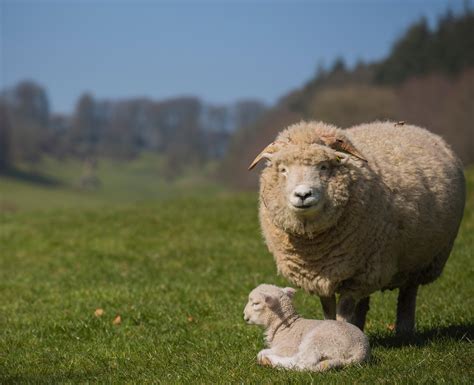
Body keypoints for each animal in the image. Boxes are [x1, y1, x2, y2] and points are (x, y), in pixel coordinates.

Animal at [250, 120, 464, 332]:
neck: (314, 247)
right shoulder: (321, 275)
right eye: (283, 169)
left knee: (408, 294)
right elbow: (328, 310)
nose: (303, 195)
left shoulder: (356, 278)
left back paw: (404, 331)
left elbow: (344, 312)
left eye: (323, 166)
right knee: (365, 301)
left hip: (419, 261)